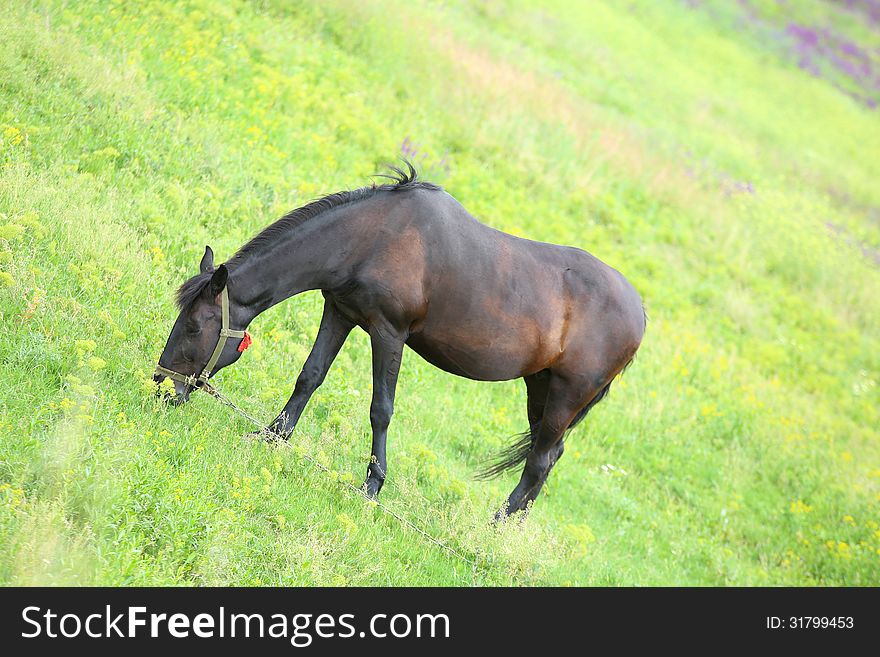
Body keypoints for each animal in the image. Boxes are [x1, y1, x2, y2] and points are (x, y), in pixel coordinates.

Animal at [153, 163, 648, 516]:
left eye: (195, 326)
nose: (162, 387)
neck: (373, 237)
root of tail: (640, 315)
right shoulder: (340, 312)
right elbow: (309, 376)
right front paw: (271, 437)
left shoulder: (388, 332)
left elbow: (381, 409)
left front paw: (371, 486)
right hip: (540, 387)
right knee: (549, 457)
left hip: (566, 394)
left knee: (540, 461)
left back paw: (496, 526)